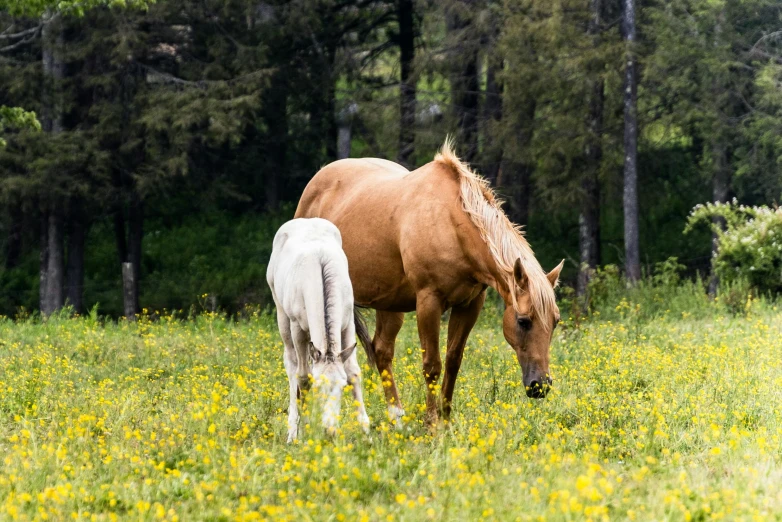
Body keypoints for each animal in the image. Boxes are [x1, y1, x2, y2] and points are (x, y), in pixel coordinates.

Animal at [266, 217, 370, 440]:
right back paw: (293, 430)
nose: (330, 431)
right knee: (292, 365)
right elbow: (303, 377)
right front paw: (300, 432)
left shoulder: (347, 323)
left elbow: (353, 372)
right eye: (320, 387)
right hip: (282, 317)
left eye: (342, 385)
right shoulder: (298, 328)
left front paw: (367, 434)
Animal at [296, 140, 564, 424]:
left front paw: (445, 419)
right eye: (523, 321)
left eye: (555, 322)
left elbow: (453, 360)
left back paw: (396, 416)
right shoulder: (429, 302)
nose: (540, 385)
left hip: (389, 304)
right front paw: (432, 422)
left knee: (381, 350)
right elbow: (432, 365)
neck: (451, 224)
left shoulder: (469, 305)